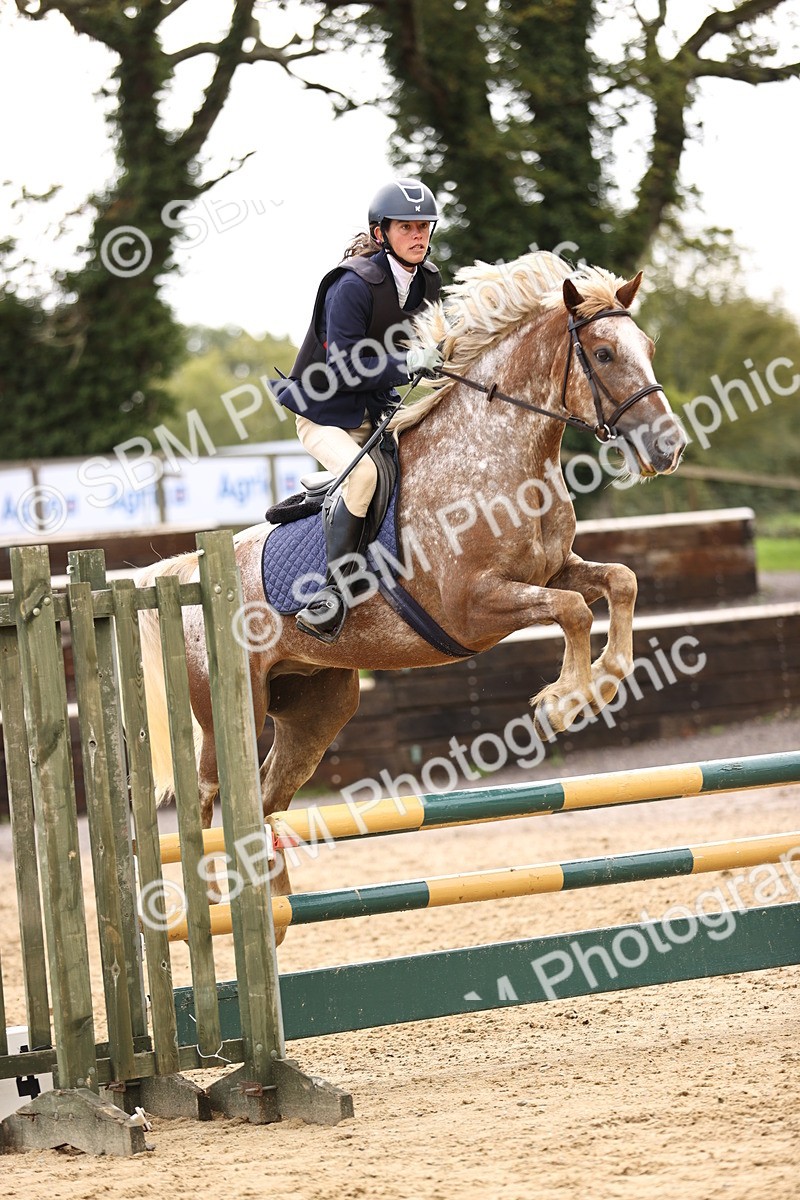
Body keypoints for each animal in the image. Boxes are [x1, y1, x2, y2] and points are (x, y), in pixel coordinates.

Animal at [136, 250, 686, 925]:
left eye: (649, 346)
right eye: (604, 354)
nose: (669, 447)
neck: (499, 457)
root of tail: (189, 577)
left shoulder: (550, 569)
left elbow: (618, 583)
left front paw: (605, 680)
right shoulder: (474, 605)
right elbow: (575, 610)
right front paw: (564, 702)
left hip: (318, 706)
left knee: (267, 796)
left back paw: (278, 896)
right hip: (227, 710)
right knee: (210, 797)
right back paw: (216, 897)